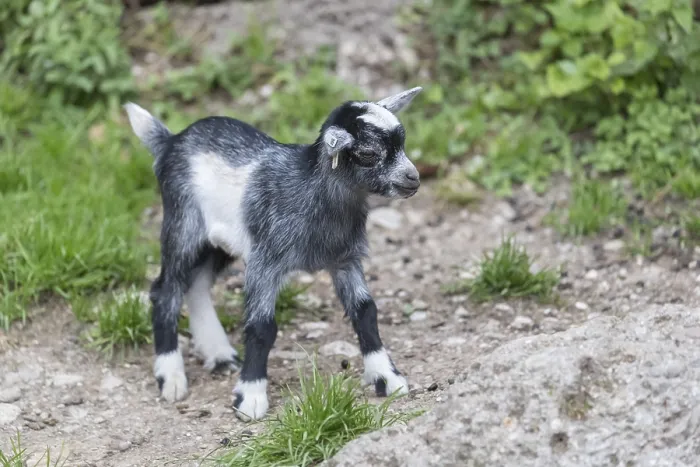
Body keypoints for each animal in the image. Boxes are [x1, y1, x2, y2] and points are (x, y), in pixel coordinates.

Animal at [123, 86, 423, 421]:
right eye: (369, 154)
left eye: (402, 143)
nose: (413, 178)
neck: (309, 190)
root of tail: (170, 141)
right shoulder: (265, 261)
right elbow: (261, 326)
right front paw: (250, 397)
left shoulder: (345, 259)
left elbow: (364, 311)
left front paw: (387, 377)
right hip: (183, 225)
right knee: (166, 290)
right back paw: (171, 376)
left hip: (219, 242)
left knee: (197, 286)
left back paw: (219, 354)